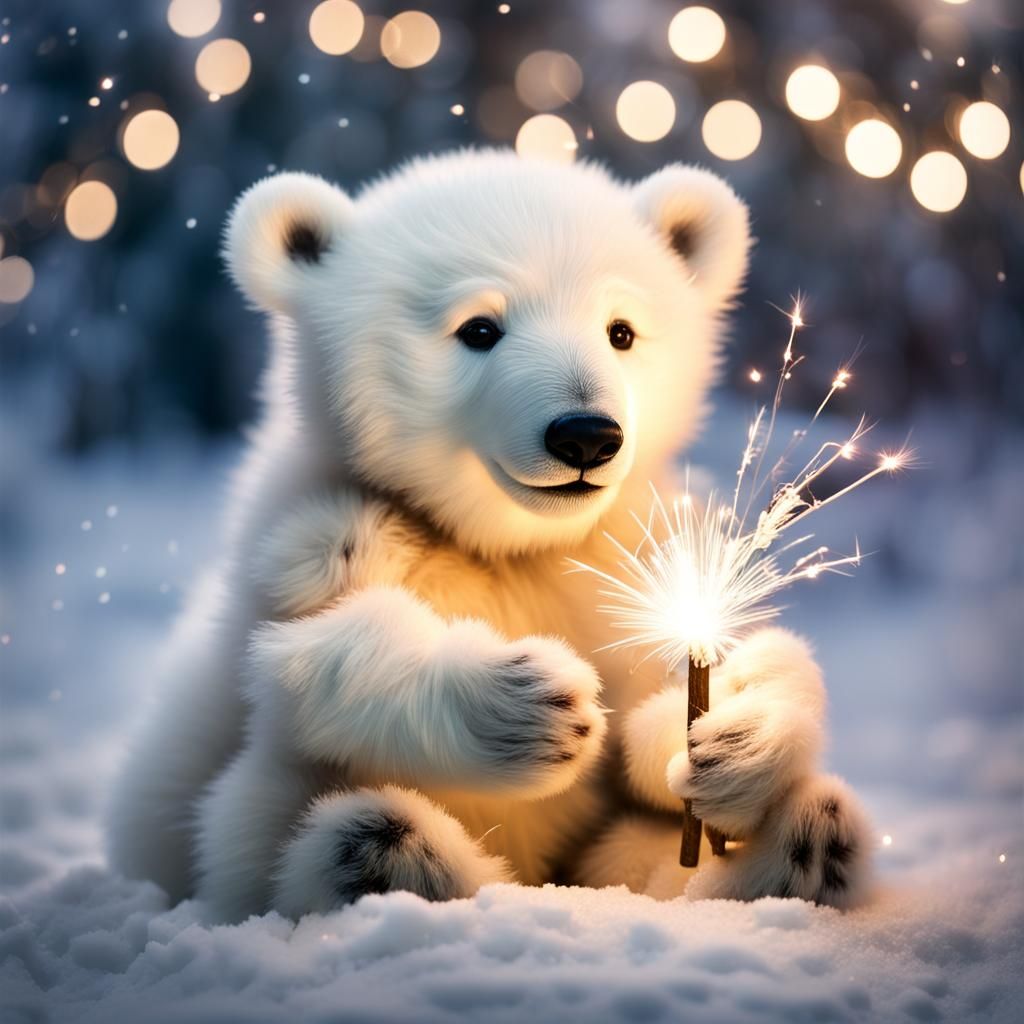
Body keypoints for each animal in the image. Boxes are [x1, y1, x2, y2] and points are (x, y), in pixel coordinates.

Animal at [107, 151, 873, 922]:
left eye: (620, 331)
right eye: (478, 328)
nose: (585, 435)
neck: (511, 547)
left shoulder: (626, 560)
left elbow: (699, 691)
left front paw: (735, 737)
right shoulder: (305, 541)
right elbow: (306, 658)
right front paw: (532, 706)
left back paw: (803, 848)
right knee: (277, 818)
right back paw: (395, 853)